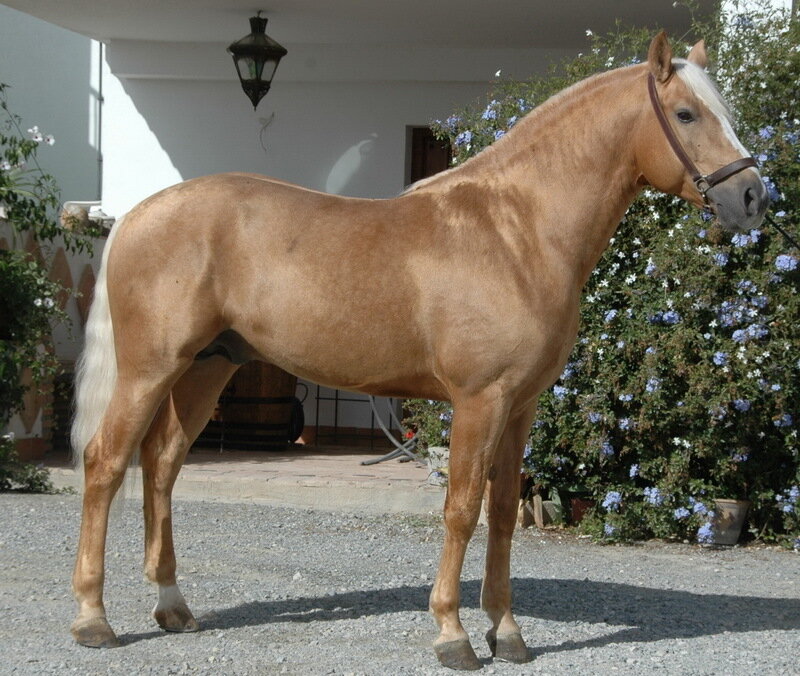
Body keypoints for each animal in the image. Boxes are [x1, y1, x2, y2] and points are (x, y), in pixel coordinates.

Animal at [69, 32, 768, 670]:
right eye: (686, 114)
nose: (753, 198)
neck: (515, 231)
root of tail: (135, 215)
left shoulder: (520, 406)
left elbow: (504, 512)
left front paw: (507, 632)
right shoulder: (480, 400)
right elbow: (461, 509)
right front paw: (454, 635)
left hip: (207, 369)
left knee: (161, 465)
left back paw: (173, 606)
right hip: (151, 369)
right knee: (106, 463)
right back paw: (93, 618)